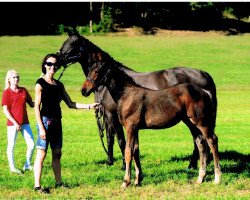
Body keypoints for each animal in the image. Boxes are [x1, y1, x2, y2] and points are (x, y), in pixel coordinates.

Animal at [56, 29, 217, 170]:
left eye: (72, 43)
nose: (56, 60)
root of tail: (204, 74)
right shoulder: (107, 114)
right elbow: (109, 138)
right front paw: (109, 162)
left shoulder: (113, 116)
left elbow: (121, 140)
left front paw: (123, 164)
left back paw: (194, 165)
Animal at [81, 60, 222, 188]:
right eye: (89, 70)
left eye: (97, 71)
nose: (84, 90)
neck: (128, 95)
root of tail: (205, 92)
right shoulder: (136, 129)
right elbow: (135, 150)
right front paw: (138, 180)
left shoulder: (130, 127)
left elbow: (128, 151)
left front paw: (126, 182)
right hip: (190, 122)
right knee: (200, 143)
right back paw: (200, 178)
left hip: (201, 121)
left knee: (212, 140)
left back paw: (217, 178)